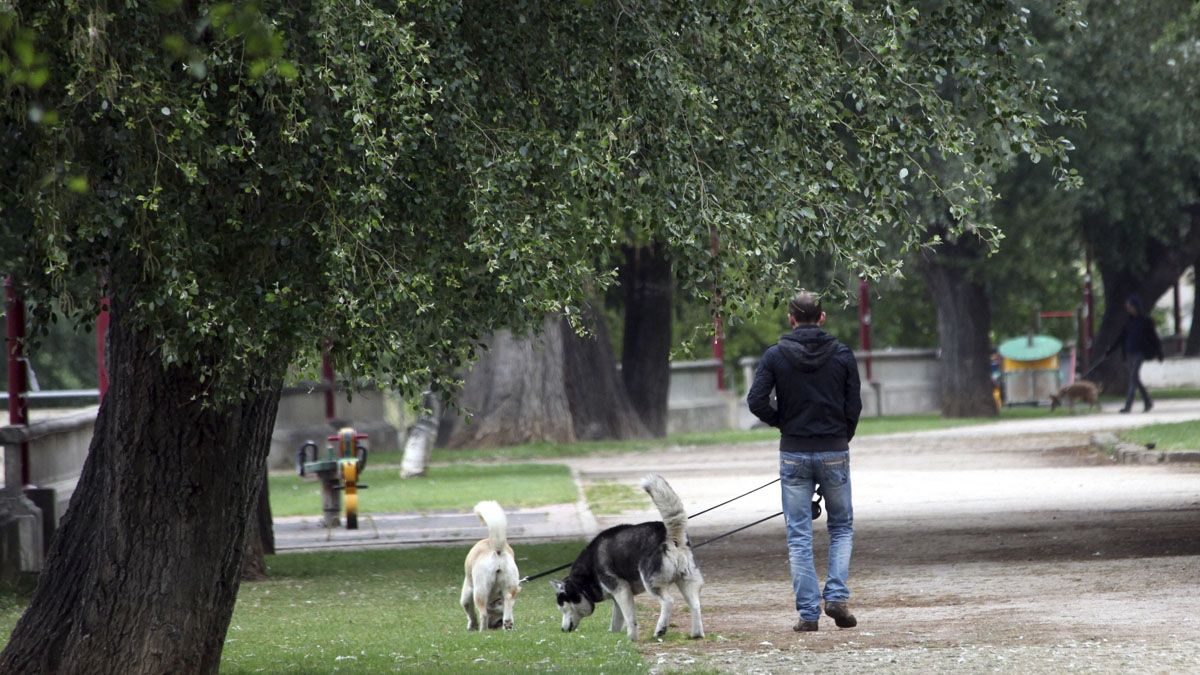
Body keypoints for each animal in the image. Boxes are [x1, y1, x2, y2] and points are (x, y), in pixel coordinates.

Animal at [458, 497, 520, 629]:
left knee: (483, 614)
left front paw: (472, 626)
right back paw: (507, 624)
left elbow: (470, 612)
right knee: (509, 602)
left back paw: (483, 630)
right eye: (498, 619)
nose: (495, 625)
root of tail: (497, 550)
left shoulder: (467, 593)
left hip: (479, 591)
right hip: (510, 586)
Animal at [552, 470, 700, 638]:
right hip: (686, 580)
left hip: (651, 582)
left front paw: (631, 638)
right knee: (695, 604)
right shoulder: (619, 597)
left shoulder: (621, 590)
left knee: (668, 601)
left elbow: (630, 618)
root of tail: (669, 536)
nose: (562, 630)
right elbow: (616, 621)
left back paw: (660, 629)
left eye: (563, 608)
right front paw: (613, 637)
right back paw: (697, 633)